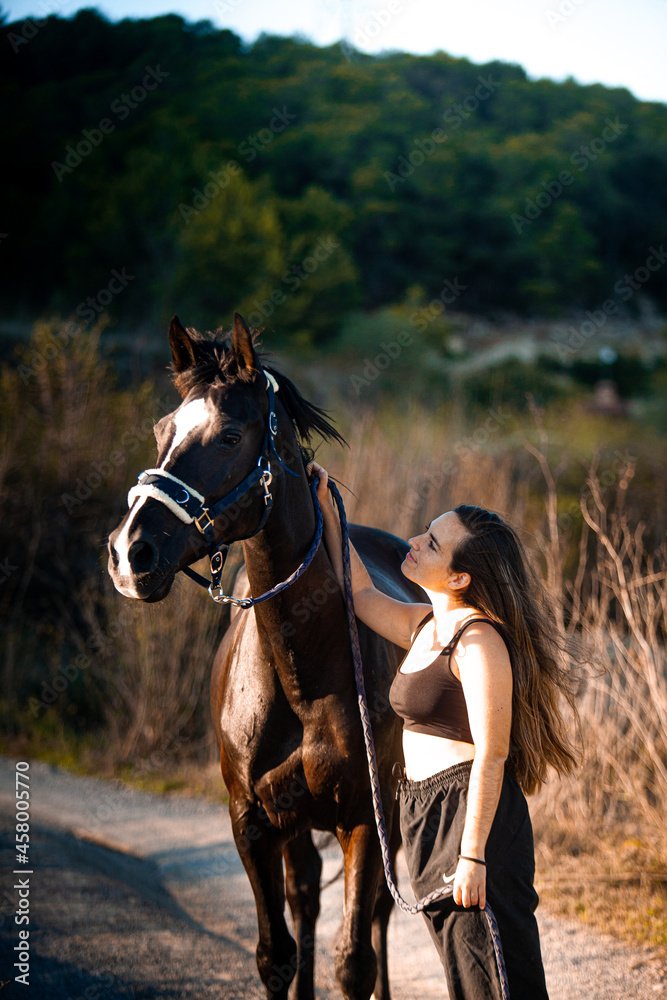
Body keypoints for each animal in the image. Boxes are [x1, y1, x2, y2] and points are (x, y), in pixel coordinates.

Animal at [107, 313, 425, 1000]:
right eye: (162, 430)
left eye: (230, 435)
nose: (128, 553)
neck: (301, 668)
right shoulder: (252, 821)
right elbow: (274, 954)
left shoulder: (365, 820)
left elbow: (354, 959)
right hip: (297, 824)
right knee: (304, 898)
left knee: (378, 914)